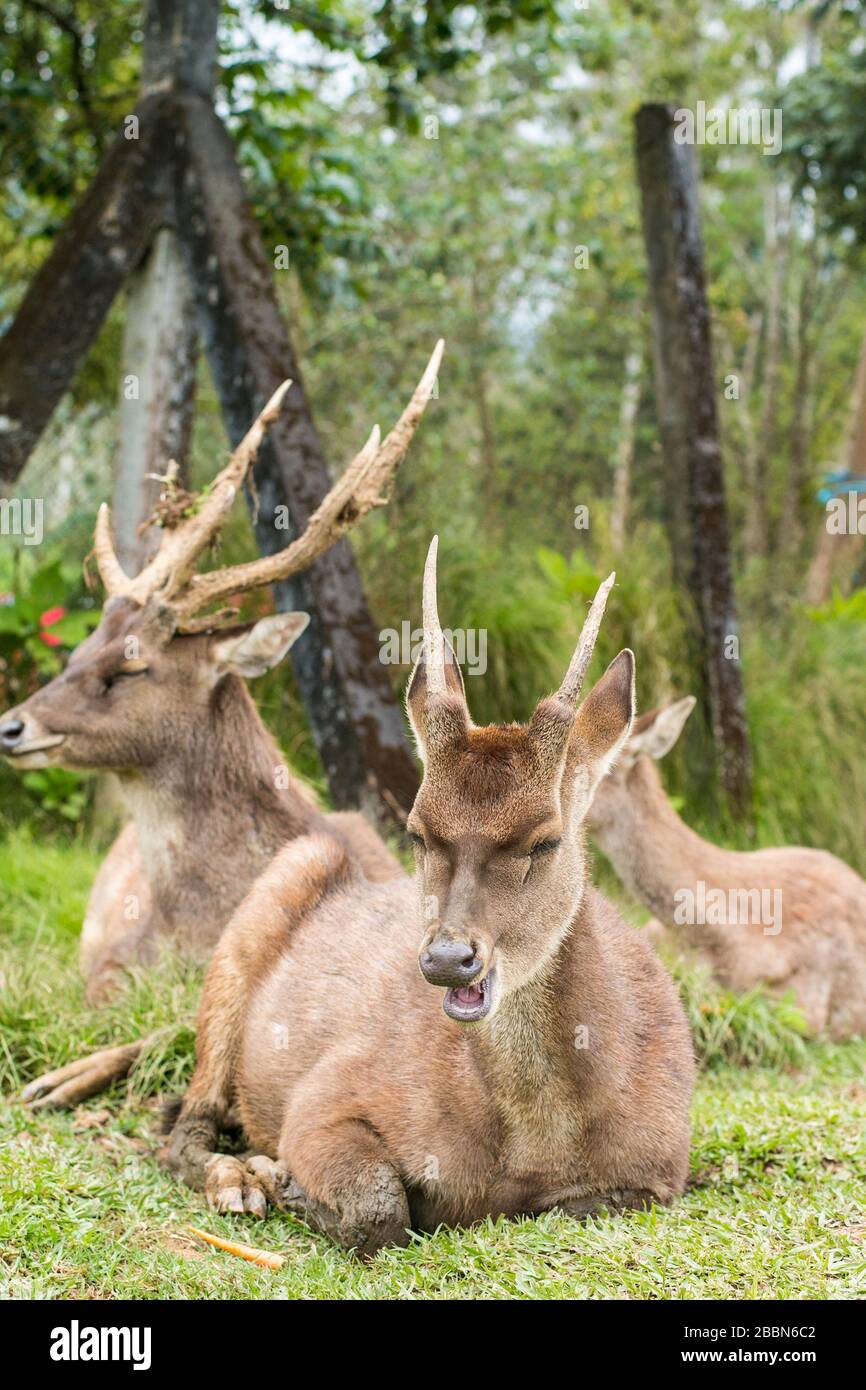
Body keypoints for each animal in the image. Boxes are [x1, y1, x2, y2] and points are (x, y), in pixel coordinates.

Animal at [3, 344, 444, 1106]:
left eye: (131, 665)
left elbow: (183, 1024)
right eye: (80, 646)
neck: (194, 927)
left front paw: (60, 1079)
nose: (12, 727)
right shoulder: (111, 958)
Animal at [162, 544, 695, 1262]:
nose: (448, 958)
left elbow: (581, 1204)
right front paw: (285, 1180)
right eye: (418, 831)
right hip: (254, 927)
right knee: (185, 1126)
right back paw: (238, 1180)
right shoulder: (324, 1094)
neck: (538, 1137)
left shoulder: (663, 1168)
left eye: (547, 839)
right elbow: (380, 1208)